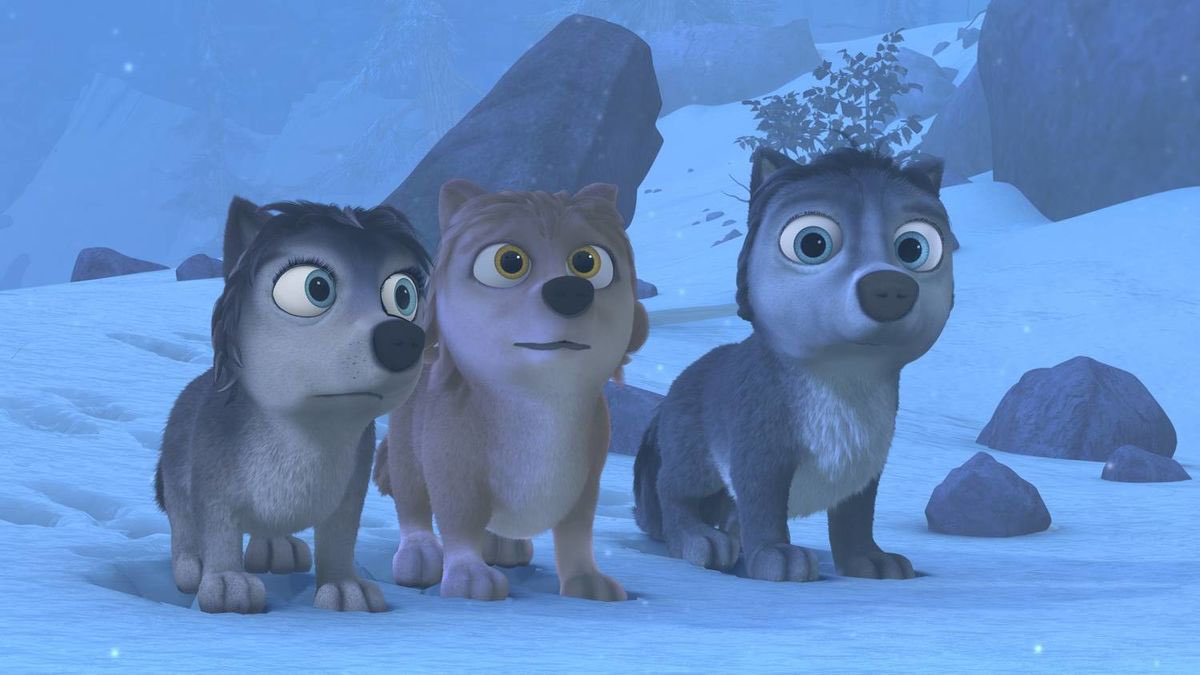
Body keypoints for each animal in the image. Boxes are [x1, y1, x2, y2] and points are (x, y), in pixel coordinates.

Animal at [155, 197, 432, 613]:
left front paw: (345, 587)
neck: (309, 432)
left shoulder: (351, 489)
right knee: (183, 523)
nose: (401, 338)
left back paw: (277, 550)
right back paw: (191, 566)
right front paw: (227, 583)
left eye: (404, 295)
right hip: (175, 467)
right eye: (316, 288)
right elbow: (219, 530)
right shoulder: (212, 477)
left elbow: (339, 538)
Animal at [374, 179, 649, 601]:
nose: (570, 291)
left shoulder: (587, 477)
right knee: (413, 503)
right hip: (406, 444)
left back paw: (504, 547)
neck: (540, 403)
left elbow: (576, 533)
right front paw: (469, 576)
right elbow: (458, 522)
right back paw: (419, 556)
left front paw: (587, 581)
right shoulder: (452, 465)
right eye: (509, 262)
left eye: (587, 261)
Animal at [634, 147, 957, 582]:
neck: (843, 381)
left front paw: (870, 561)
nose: (889, 288)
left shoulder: (864, 468)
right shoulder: (758, 451)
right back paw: (701, 541)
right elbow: (763, 506)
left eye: (913, 248)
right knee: (674, 495)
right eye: (812, 243)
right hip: (691, 459)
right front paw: (776, 556)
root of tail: (674, 389)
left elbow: (854, 519)